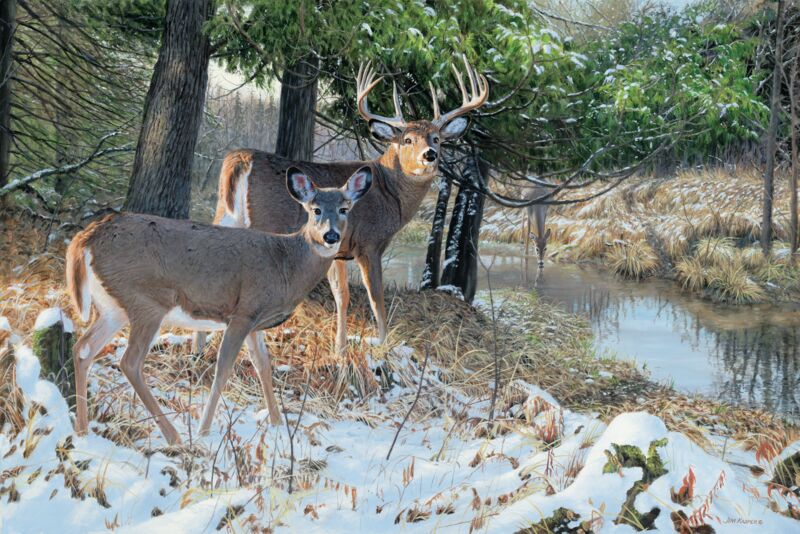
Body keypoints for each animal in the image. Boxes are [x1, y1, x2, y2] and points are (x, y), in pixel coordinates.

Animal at [65, 167, 372, 445]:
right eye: (315, 209)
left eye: (344, 208)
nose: (331, 236)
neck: (286, 265)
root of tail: (84, 239)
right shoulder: (243, 312)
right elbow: (223, 371)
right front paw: (203, 430)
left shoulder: (255, 321)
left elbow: (264, 367)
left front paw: (276, 423)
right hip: (147, 301)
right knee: (129, 361)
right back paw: (174, 436)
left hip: (114, 307)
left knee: (83, 348)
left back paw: (82, 429)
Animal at [197, 56, 489, 356]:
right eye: (407, 139)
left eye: (436, 138)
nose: (429, 155)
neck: (389, 190)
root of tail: (239, 159)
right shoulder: (369, 243)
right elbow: (375, 297)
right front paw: (383, 342)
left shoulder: (338, 250)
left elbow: (342, 296)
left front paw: (340, 347)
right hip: (264, 225)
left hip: (224, 215)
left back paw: (199, 348)